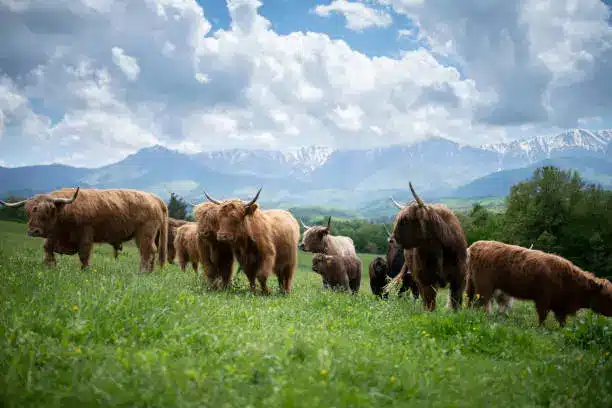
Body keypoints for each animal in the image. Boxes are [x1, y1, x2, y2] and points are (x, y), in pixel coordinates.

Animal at [0, 187, 167, 270]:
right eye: (27, 212)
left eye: (48, 211)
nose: (33, 231)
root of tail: (155, 198)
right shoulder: (54, 235)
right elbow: (47, 248)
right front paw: (49, 266)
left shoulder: (86, 235)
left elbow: (84, 254)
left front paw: (85, 271)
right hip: (154, 235)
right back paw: (149, 272)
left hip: (145, 233)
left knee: (147, 251)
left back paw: (142, 272)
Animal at [390, 182, 470, 312]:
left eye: (405, 220)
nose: (391, 239)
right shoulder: (425, 278)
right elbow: (429, 301)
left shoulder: (460, 276)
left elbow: (456, 300)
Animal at [464, 241, 612, 326]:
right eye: (608, 297)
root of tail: (474, 246)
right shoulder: (543, 299)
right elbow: (542, 316)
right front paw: (541, 329)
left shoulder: (559, 305)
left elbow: (562, 322)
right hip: (485, 287)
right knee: (484, 304)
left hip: (472, 285)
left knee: (471, 301)